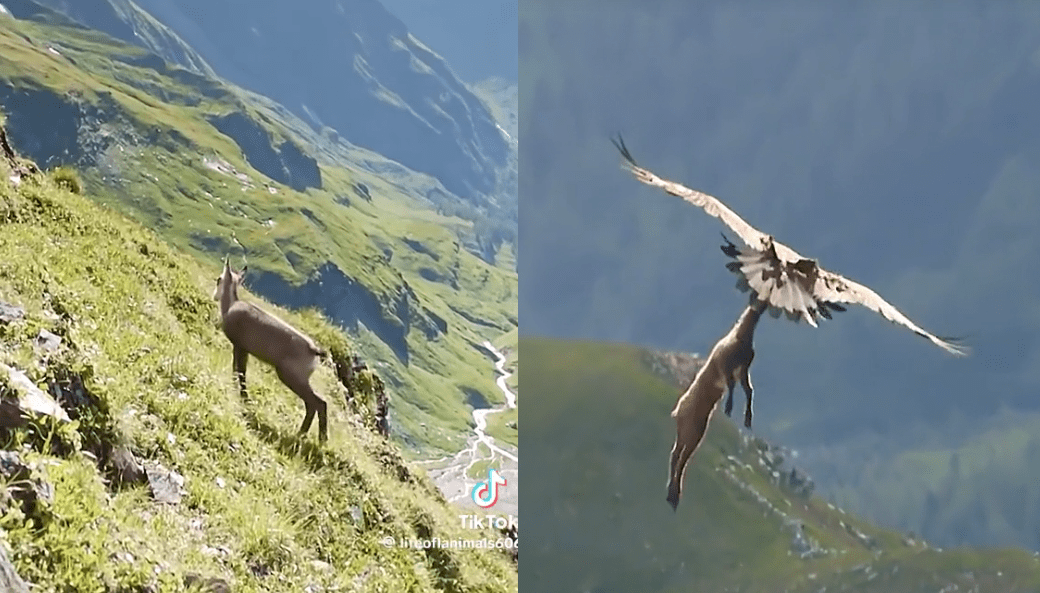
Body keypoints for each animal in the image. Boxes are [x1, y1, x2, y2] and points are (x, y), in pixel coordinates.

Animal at [212, 256, 329, 443]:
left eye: (219, 279)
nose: (214, 296)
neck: (231, 305)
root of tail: (314, 350)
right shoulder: (245, 350)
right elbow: (240, 370)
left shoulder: (240, 346)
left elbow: (239, 371)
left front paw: (242, 396)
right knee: (316, 403)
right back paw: (311, 436)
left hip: (290, 375)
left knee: (317, 403)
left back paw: (308, 436)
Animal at [666, 300, 765, 511]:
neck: (741, 335)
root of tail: (678, 409)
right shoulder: (726, 366)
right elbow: (732, 385)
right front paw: (729, 407)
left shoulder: (743, 370)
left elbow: (749, 390)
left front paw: (747, 418)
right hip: (690, 427)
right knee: (677, 455)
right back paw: (673, 493)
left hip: (697, 430)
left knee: (681, 455)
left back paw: (673, 495)